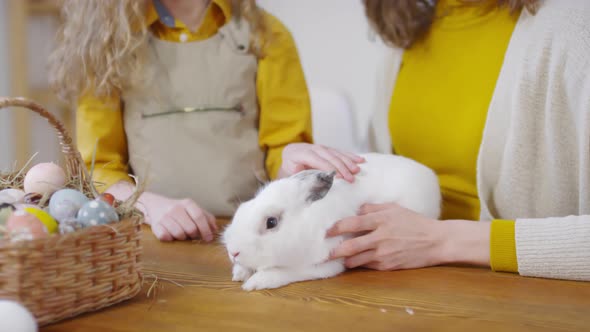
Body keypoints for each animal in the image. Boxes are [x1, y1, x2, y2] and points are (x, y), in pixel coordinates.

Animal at [222, 153, 440, 290]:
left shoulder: (323, 262)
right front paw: (239, 273)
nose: (233, 252)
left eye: (271, 222)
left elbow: (283, 271)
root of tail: (429, 175)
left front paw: (254, 283)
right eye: (245, 207)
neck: (308, 224)